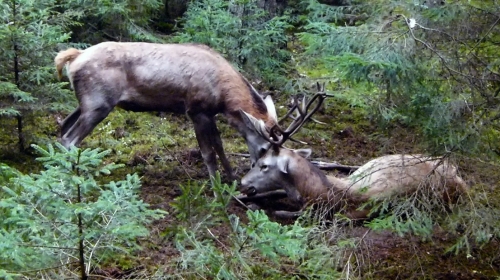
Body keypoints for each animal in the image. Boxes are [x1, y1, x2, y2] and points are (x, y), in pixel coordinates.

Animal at [57, 42, 282, 180]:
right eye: (264, 148)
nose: (257, 168)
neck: (223, 97)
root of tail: (75, 57)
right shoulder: (196, 111)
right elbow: (208, 153)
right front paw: (216, 188)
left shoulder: (209, 113)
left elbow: (219, 146)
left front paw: (231, 178)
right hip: (98, 103)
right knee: (70, 139)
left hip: (86, 103)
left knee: (63, 129)